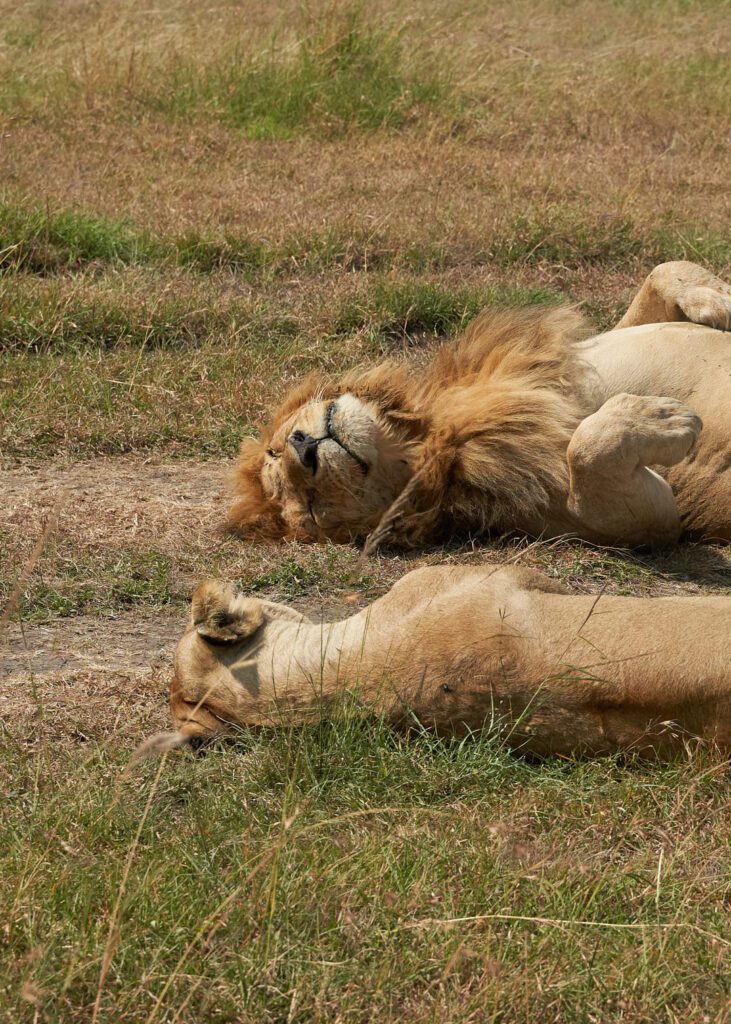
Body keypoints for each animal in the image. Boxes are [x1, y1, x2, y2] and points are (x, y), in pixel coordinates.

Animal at [228, 261, 731, 550]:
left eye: (275, 449)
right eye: (310, 509)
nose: (303, 449)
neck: (430, 427)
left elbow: (664, 270)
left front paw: (718, 299)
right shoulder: (638, 521)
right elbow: (587, 451)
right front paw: (663, 417)